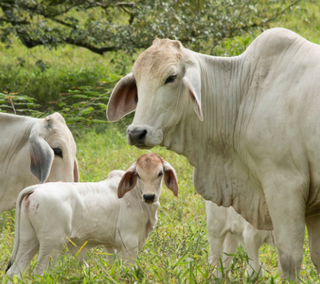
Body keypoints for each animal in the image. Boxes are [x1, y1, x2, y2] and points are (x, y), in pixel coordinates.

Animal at [5, 154, 178, 276]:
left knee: (16, 271)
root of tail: (35, 189)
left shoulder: (111, 245)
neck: (135, 195)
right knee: (40, 272)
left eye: (160, 173)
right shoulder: (129, 242)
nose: (149, 196)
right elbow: (129, 269)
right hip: (52, 244)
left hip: (29, 239)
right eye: (138, 174)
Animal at [107, 27, 320, 280]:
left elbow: (289, 259)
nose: (137, 133)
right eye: (137, 80)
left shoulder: (285, 184)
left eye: (171, 78)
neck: (244, 94)